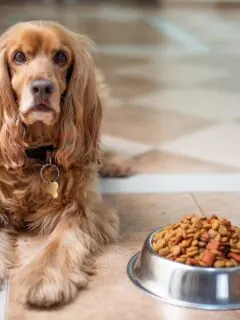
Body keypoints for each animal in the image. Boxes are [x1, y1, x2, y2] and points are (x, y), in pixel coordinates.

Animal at [0, 20, 131, 308]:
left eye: (60, 57)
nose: (42, 87)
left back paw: (114, 163)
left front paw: (42, 278)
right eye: (19, 57)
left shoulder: (85, 208)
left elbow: (60, 241)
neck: (36, 154)